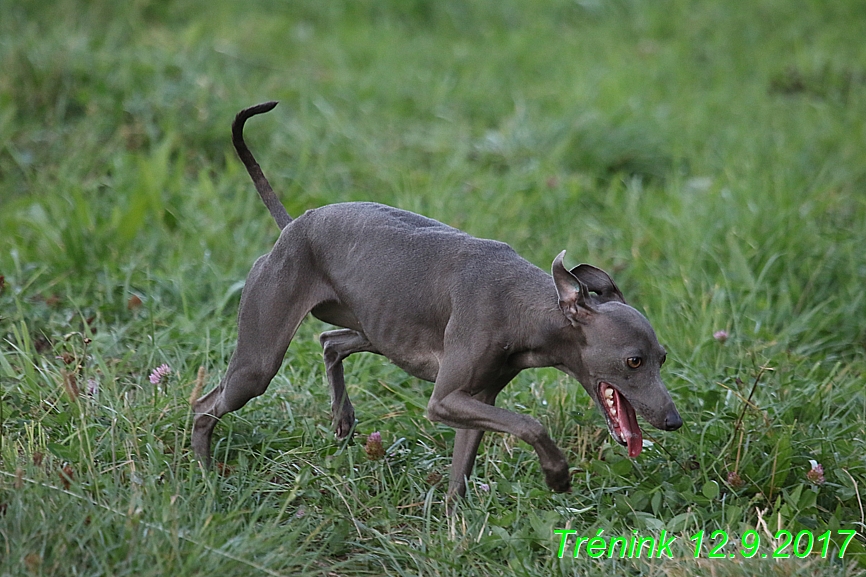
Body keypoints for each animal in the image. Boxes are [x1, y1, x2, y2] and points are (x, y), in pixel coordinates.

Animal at [191, 102, 680, 500]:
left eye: (663, 357)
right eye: (634, 361)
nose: (673, 420)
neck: (526, 307)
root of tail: (293, 227)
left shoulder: (477, 398)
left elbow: (458, 479)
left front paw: (455, 530)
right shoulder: (445, 400)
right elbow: (529, 423)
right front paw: (557, 474)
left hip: (374, 329)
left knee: (332, 342)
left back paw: (342, 418)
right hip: (259, 358)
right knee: (204, 407)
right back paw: (208, 476)